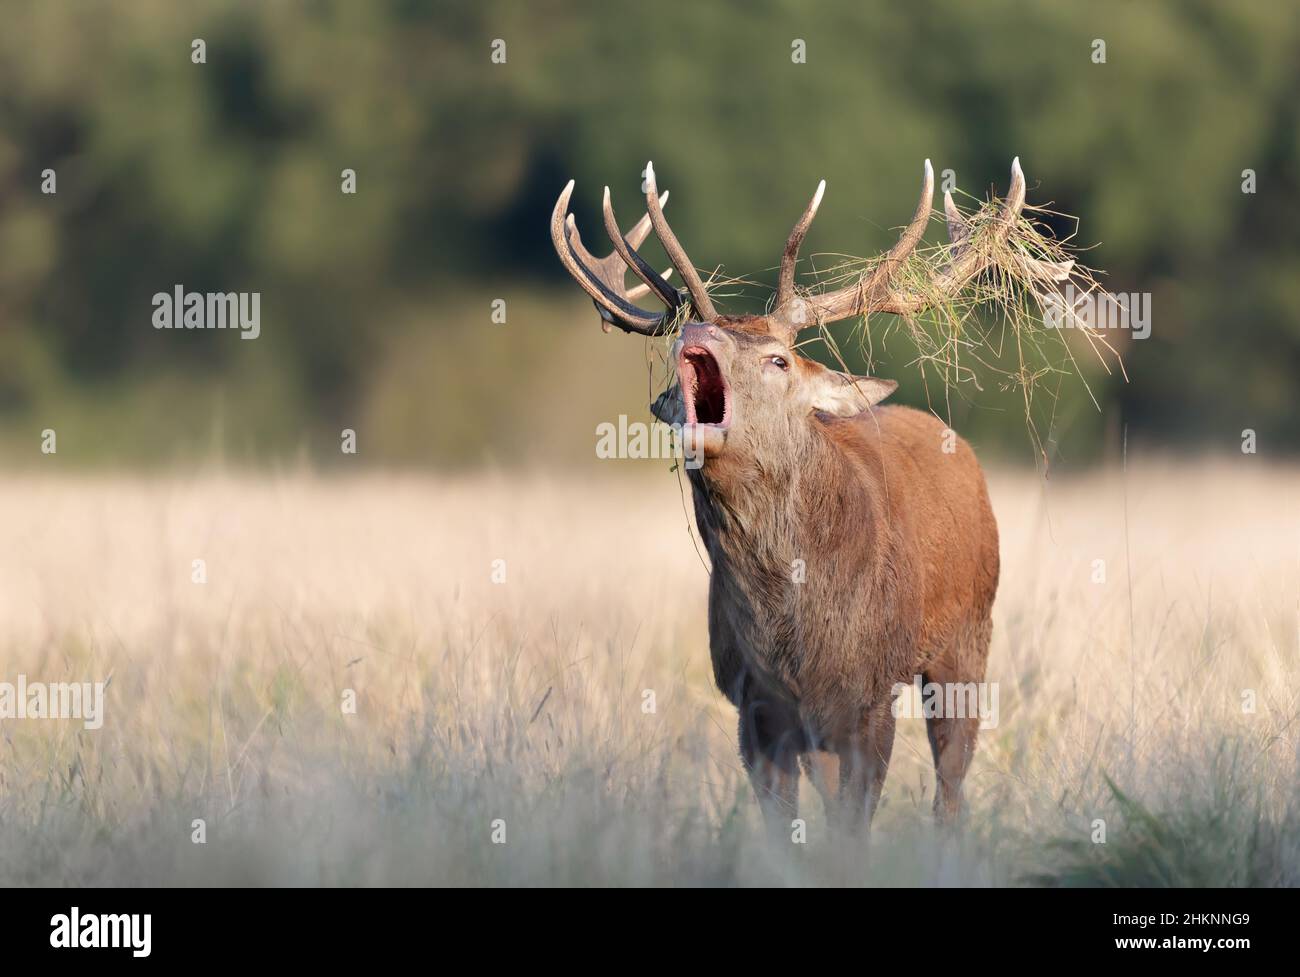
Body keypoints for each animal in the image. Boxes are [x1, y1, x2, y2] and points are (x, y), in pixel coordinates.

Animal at [551, 158, 1070, 834]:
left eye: (778, 360)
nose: (696, 328)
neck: (793, 630)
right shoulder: (753, 703)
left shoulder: (871, 694)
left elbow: (854, 829)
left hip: (969, 638)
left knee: (951, 782)